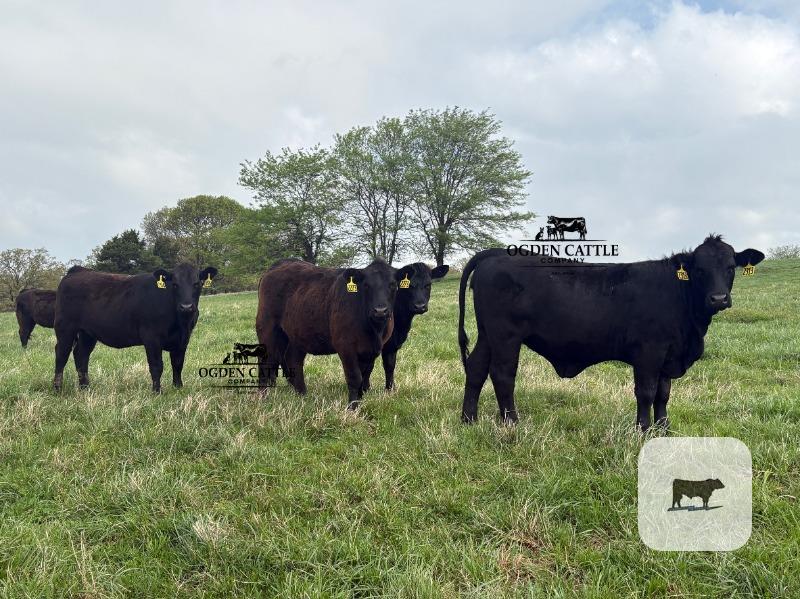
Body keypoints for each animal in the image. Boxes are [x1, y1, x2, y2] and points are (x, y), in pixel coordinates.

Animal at [52, 263, 217, 392]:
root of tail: (78, 271)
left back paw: (85, 387)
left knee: (81, 355)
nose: (186, 306)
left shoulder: (183, 339)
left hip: (87, 333)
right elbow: (156, 366)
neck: (181, 323)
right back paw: (58, 388)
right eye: (175, 284)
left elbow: (178, 364)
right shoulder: (151, 338)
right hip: (65, 327)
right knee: (61, 354)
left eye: (197, 283)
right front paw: (157, 392)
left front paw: (178, 388)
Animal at [255, 258, 401, 409]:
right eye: (366, 285)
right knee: (265, 361)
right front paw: (352, 408)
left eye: (393, 285)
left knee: (293, 360)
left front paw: (359, 402)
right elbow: (355, 377)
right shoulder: (345, 347)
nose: (380, 310)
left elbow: (365, 375)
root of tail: (279, 265)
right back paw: (262, 397)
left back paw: (302, 395)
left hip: (295, 335)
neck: (375, 330)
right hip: (268, 329)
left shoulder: (371, 350)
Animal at [361, 262, 449, 391]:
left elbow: (390, 365)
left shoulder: (392, 345)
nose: (420, 306)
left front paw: (390, 389)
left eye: (428, 285)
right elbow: (368, 367)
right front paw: (365, 388)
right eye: (409, 286)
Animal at [457, 235, 764, 430]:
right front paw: (642, 430)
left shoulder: (668, 353)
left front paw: (663, 429)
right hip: (505, 335)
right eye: (699, 270)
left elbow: (663, 394)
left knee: (476, 368)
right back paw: (512, 423)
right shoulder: (649, 351)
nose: (718, 298)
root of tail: (497, 252)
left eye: (730, 267)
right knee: (502, 374)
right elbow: (646, 392)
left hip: (487, 334)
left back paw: (469, 420)